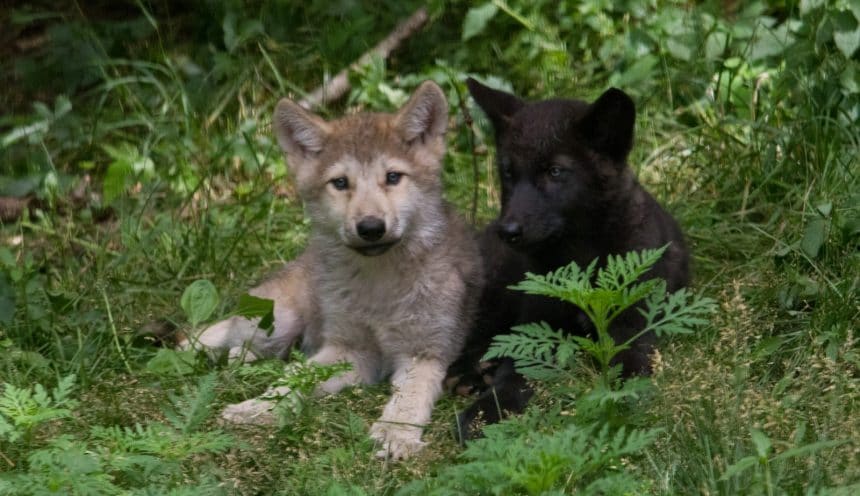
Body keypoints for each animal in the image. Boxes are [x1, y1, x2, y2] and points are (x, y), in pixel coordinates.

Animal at [179, 81, 483, 459]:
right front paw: (259, 407)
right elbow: (292, 380)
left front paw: (395, 434)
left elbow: (409, 399)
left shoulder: (425, 353)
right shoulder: (348, 350)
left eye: (393, 177)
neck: (379, 283)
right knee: (226, 337)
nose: (371, 228)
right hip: (276, 323)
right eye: (340, 183)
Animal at [450, 78, 690, 437]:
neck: (579, 256)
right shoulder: (536, 326)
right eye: (508, 173)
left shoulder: (632, 327)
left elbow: (627, 370)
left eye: (555, 171)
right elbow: (515, 373)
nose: (508, 230)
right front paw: (485, 412)